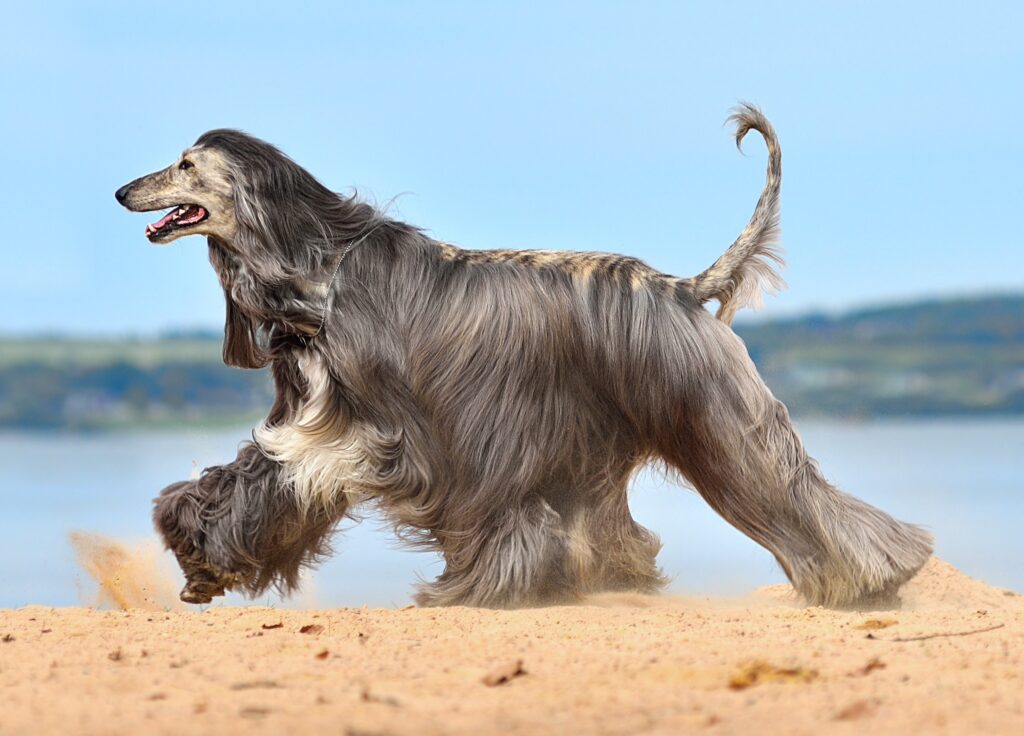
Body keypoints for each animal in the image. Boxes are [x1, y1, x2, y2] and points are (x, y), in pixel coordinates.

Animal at [116, 103, 933, 610]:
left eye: (185, 164)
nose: (123, 190)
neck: (317, 272)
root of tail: (680, 287)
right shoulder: (316, 421)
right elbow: (254, 477)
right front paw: (199, 556)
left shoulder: (392, 433)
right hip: (604, 438)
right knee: (618, 526)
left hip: (713, 414)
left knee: (792, 490)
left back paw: (875, 579)